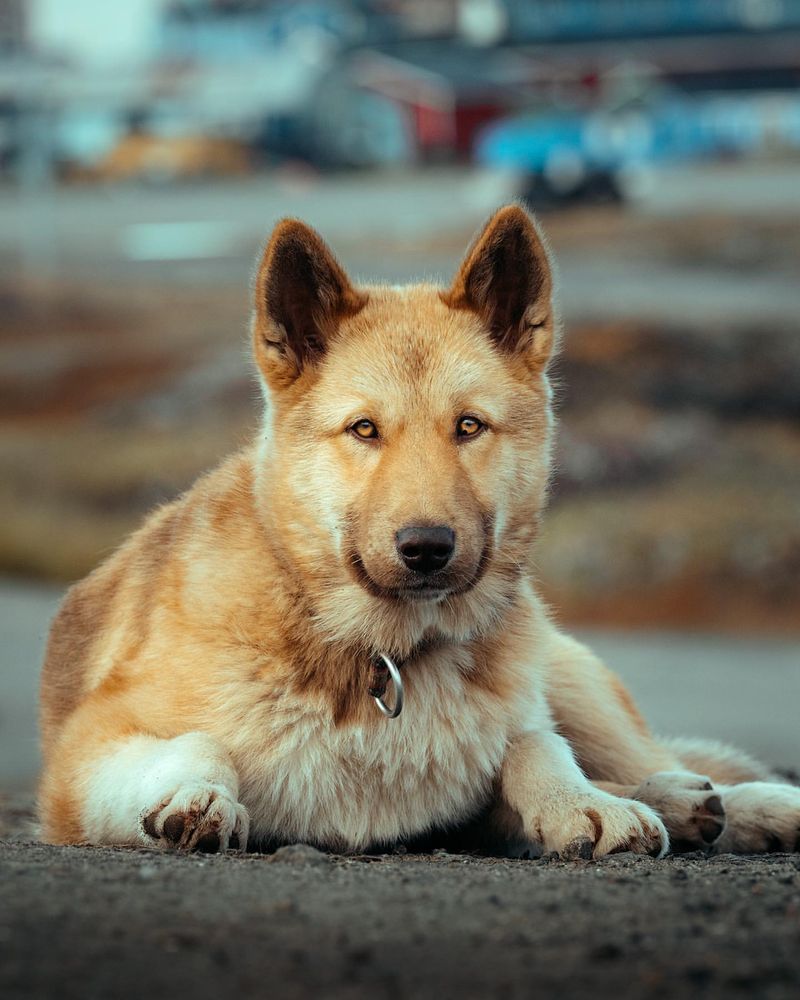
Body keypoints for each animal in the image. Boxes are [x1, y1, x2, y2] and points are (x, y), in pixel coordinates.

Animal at [39, 205, 800, 860]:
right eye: (364, 429)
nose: (427, 548)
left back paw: (729, 802)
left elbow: (535, 746)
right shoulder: (81, 758)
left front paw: (581, 803)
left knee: (645, 759)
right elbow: (202, 744)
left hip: (573, 683)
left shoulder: (495, 771)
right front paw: (192, 796)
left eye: (468, 426)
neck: (380, 658)